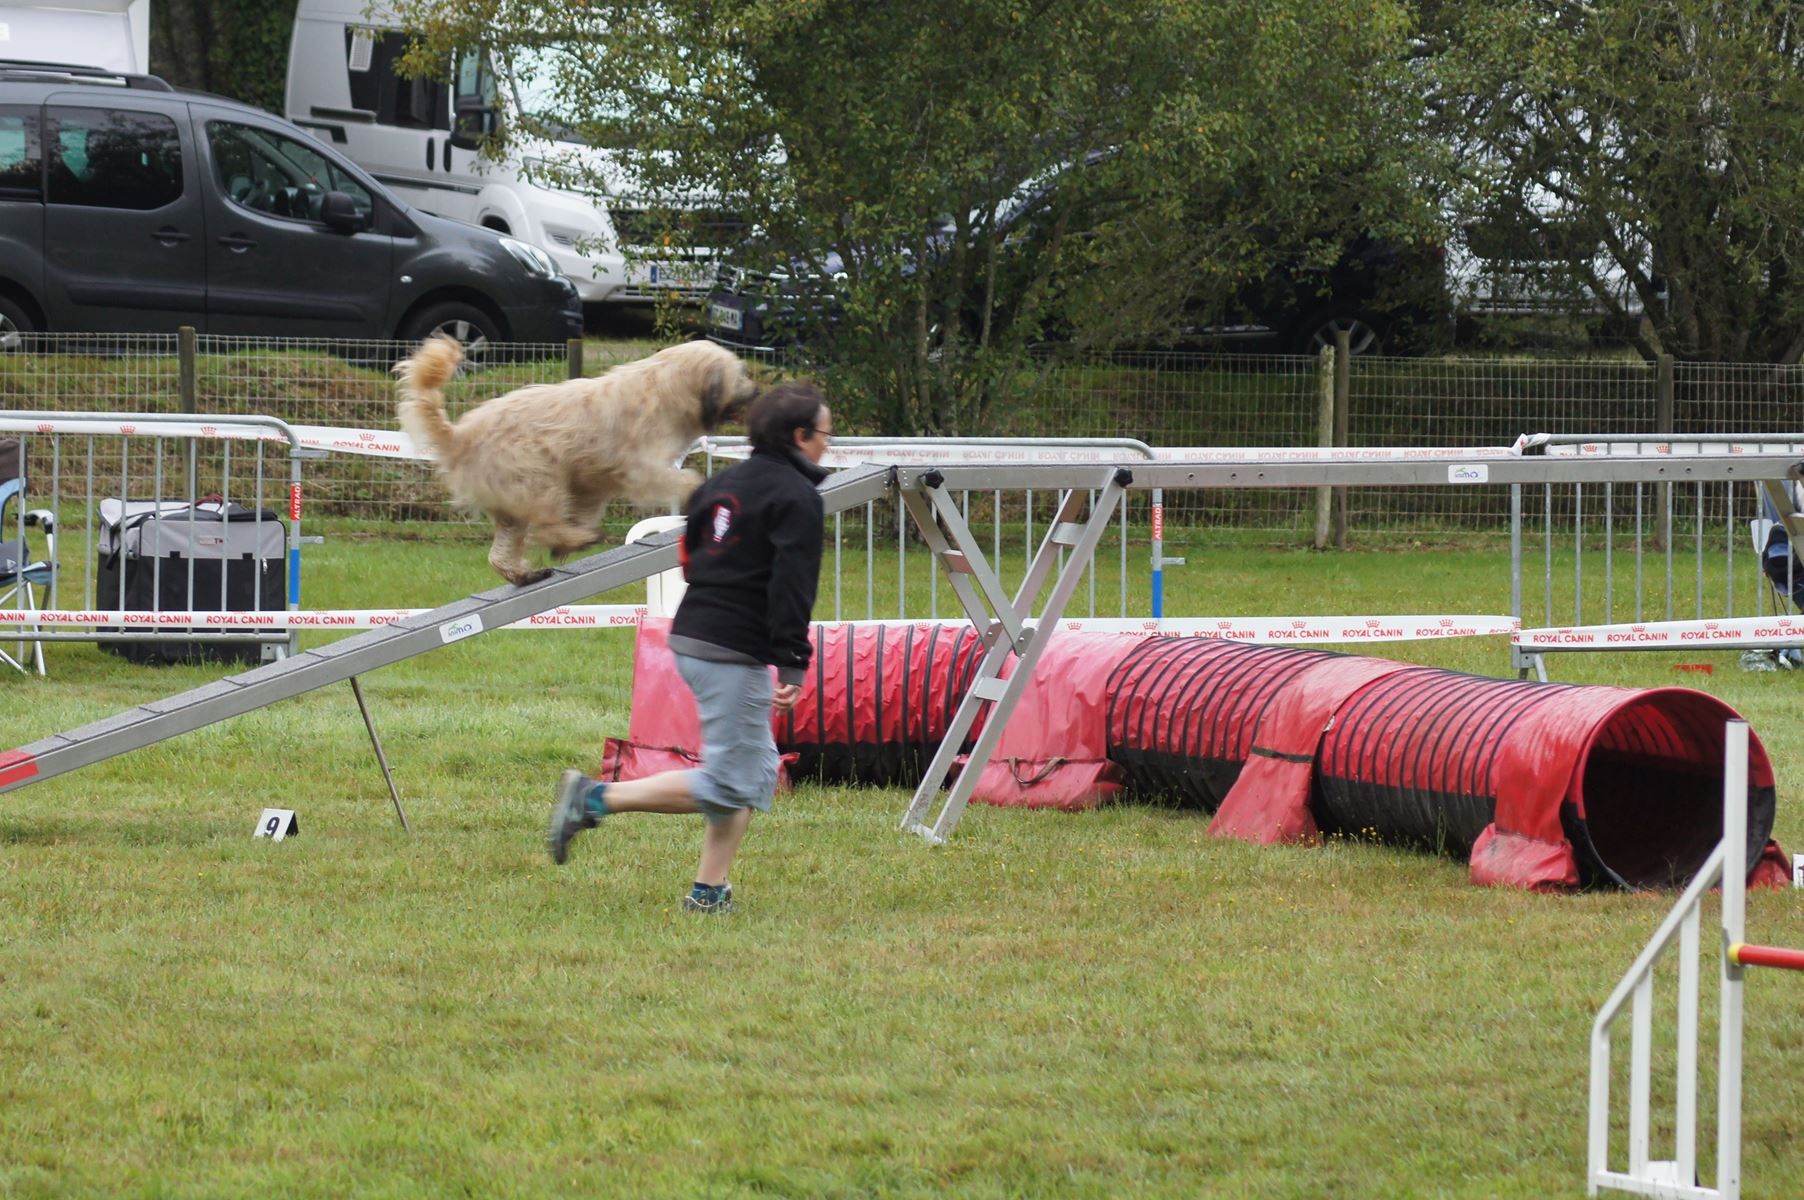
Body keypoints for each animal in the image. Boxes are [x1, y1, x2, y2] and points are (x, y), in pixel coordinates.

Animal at [398, 337, 757, 584]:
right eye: (739, 374)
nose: (756, 392)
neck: (666, 385)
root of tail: (459, 436)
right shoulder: (640, 467)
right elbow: (682, 478)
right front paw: (696, 490)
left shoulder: (591, 482)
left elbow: (586, 506)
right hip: (537, 476)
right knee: (545, 521)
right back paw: (577, 539)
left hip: (512, 502)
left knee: (499, 554)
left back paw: (527, 573)